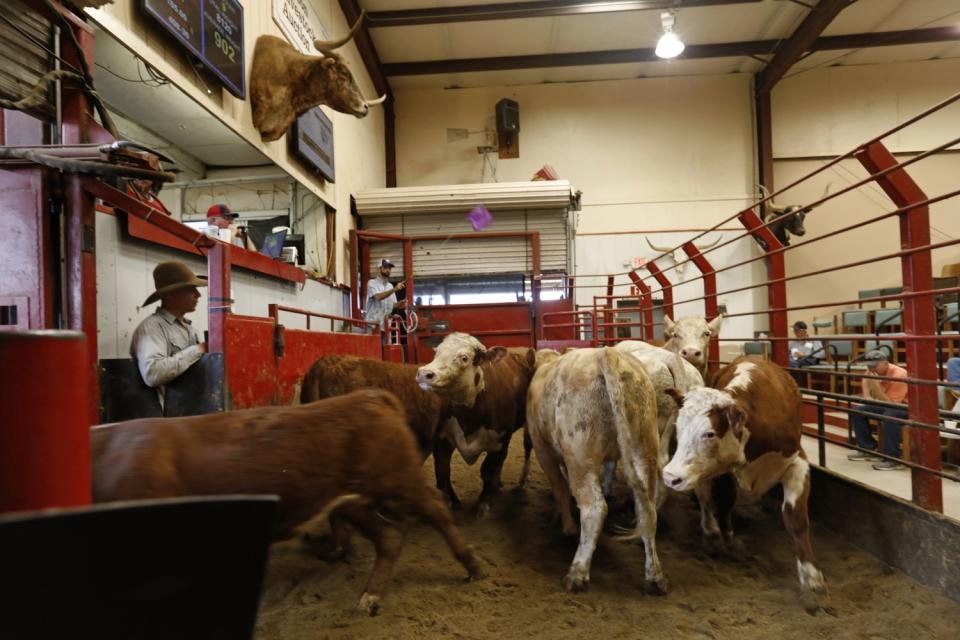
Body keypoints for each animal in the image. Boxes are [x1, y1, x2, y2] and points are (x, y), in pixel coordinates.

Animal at [91, 390, 480, 616]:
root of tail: (372, 397)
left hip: (399, 480)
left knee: (435, 507)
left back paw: (471, 563)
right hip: (353, 501)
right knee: (389, 538)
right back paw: (369, 595)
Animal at [416, 332, 540, 516]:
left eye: (464, 358)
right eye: (436, 352)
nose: (424, 373)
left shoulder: (500, 440)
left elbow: (488, 469)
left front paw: (483, 503)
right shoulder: (442, 438)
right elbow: (443, 471)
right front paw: (452, 502)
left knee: (526, 447)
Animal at [524, 348, 668, 592]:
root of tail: (608, 353)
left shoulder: (543, 450)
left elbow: (559, 488)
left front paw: (567, 526)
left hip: (581, 458)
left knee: (595, 508)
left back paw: (577, 572)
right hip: (644, 449)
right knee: (647, 511)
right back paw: (655, 576)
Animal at [660, 356, 824, 608]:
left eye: (709, 434)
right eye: (679, 428)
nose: (670, 476)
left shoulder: (797, 462)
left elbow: (795, 519)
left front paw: (811, 576)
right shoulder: (724, 471)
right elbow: (724, 502)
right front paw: (727, 538)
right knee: (708, 498)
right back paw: (712, 531)